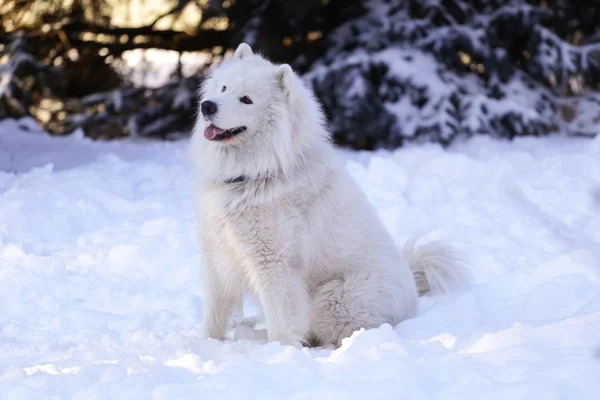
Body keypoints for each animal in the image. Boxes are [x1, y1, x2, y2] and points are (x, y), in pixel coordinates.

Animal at [190, 41, 466, 346]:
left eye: (246, 100)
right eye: (224, 88)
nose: (207, 106)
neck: (255, 174)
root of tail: (414, 295)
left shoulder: (273, 264)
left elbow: (282, 321)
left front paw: (280, 350)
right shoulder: (217, 253)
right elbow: (214, 313)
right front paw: (207, 345)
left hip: (330, 300)